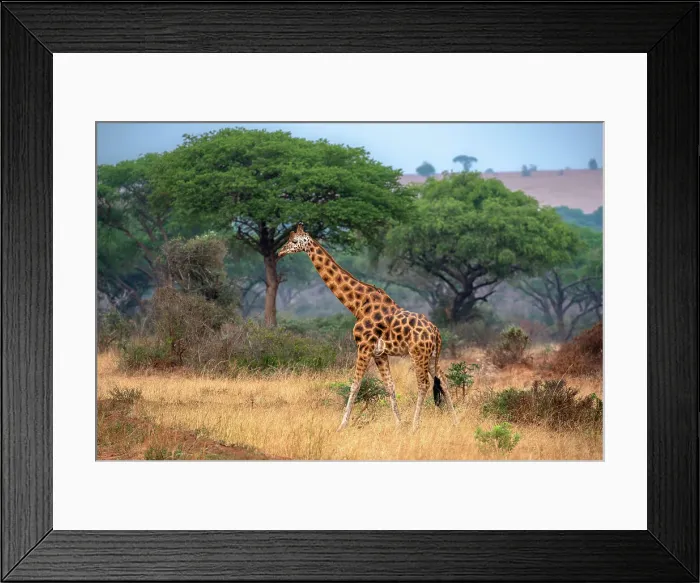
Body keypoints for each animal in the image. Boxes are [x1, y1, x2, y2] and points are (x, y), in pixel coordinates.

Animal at [277, 223, 458, 432]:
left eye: (294, 241)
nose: (280, 252)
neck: (357, 305)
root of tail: (436, 332)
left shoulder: (364, 347)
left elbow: (355, 385)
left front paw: (342, 425)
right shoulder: (380, 353)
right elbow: (390, 386)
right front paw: (399, 424)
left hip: (418, 353)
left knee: (423, 384)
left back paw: (415, 426)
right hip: (431, 355)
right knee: (443, 380)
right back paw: (455, 420)